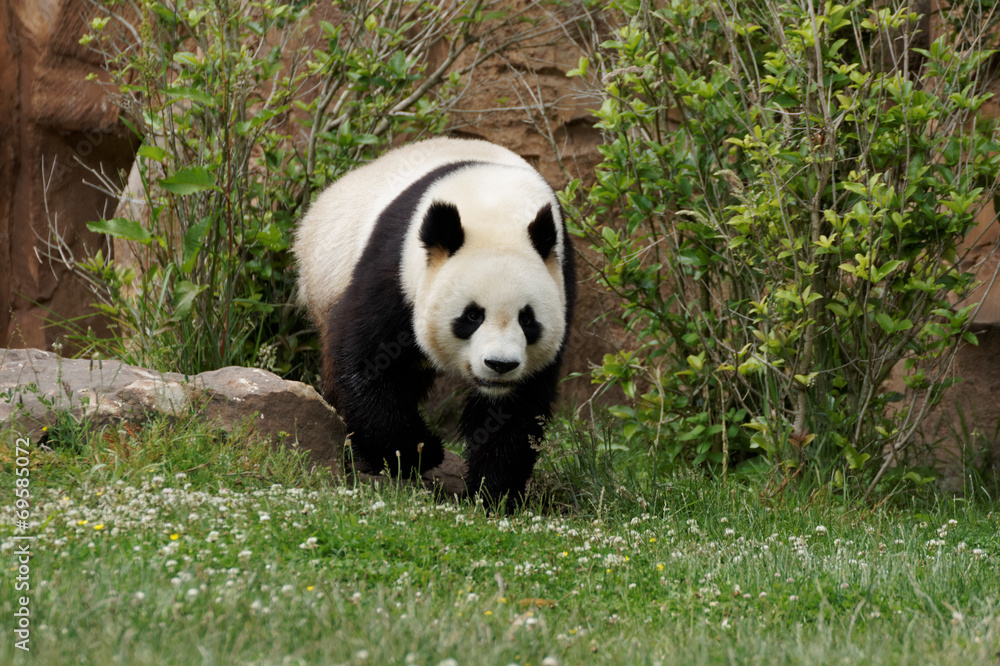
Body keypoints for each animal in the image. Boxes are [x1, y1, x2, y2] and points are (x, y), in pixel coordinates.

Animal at [294, 137, 576, 507]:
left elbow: (517, 406)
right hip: (326, 279)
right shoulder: (395, 269)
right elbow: (366, 360)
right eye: (472, 315)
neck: (496, 204)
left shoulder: (562, 278)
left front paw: (493, 493)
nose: (500, 365)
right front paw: (420, 450)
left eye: (527, 319)